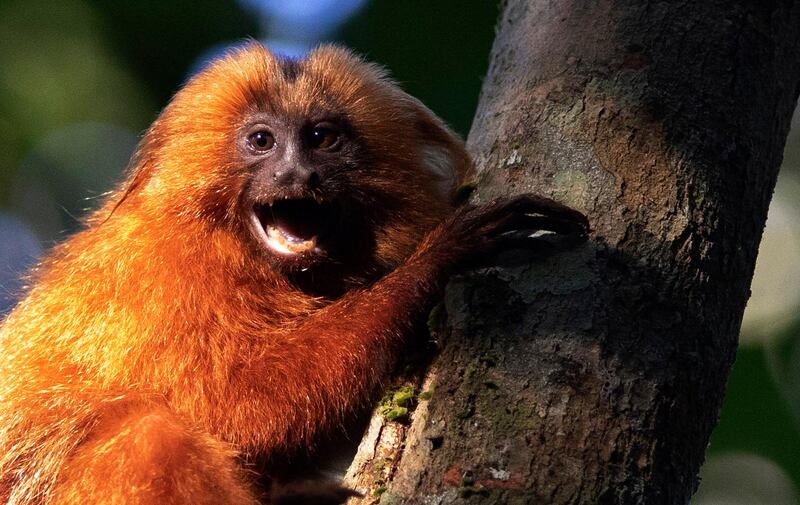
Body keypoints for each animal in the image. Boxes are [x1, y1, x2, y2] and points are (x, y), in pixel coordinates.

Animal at [0, 44, 588, 504]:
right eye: (262, 141)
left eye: (321, 137)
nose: (296, 174)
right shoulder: (159, 277)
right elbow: (228, 409)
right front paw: (438, 256)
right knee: (150, 437)